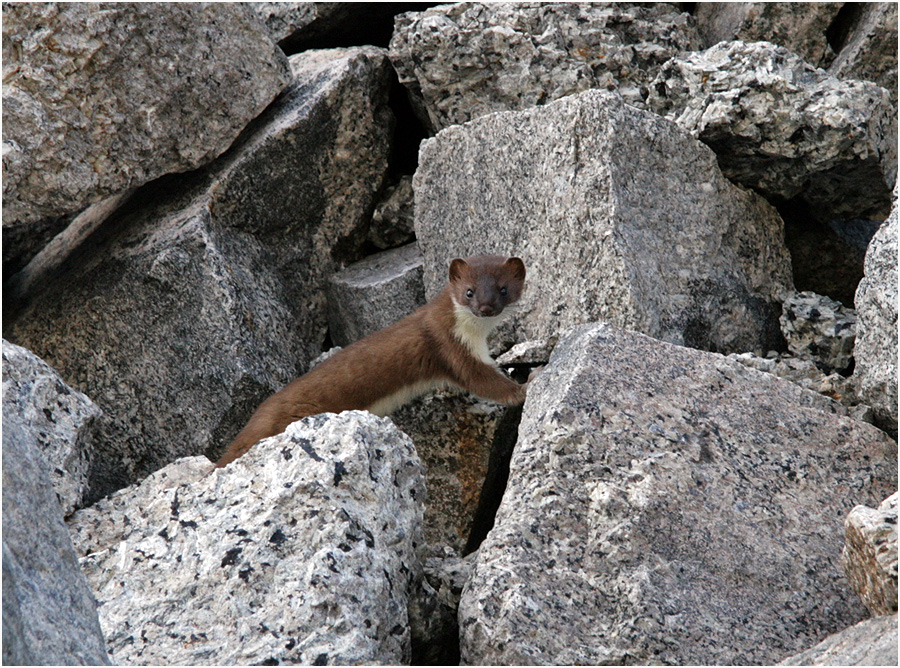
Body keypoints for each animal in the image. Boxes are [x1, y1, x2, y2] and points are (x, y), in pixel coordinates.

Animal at [214, 253, 532, 468]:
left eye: (503, 289)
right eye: (469, 291)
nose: (486, 307)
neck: (477, 334)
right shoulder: (449, 346)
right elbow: (483, 380)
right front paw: (527, 385)